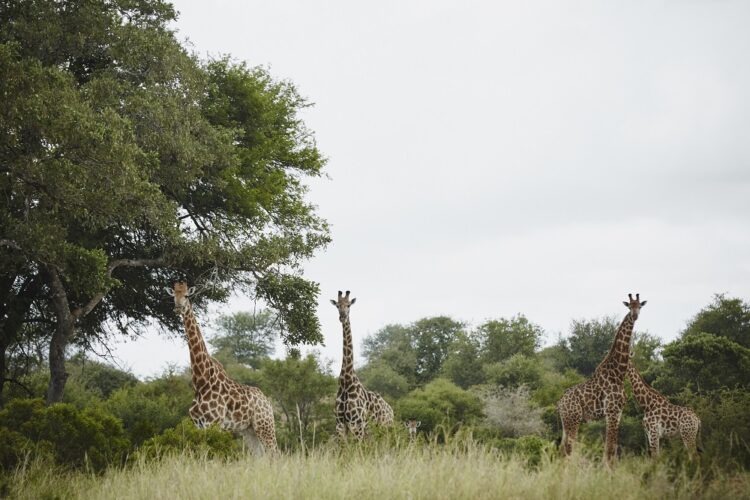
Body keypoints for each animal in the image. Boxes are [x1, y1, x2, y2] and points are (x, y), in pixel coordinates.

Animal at [167, 284, 280, 456]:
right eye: (174, 295)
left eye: (186, 295)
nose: (178, 308)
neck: (201, 382)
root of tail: (267, 401)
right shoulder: (199, 424)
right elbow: (203, 452)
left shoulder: (215, 423)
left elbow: (214, 453)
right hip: (249, 430)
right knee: (260, 456)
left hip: (264, 425)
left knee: (275, 453)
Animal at [332, 290, 396, 438]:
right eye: (337, 305)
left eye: (349, 305)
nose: (342, 317)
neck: (346, 382)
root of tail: (391, 411)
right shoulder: (340, 425)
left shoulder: (357, 424)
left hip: (385, 429)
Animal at [556, 292, 648, 460]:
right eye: (629, 306)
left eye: (640, 306)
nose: (635, 316)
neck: (618, 373)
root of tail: (560, 403)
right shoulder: (611, 411)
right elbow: (610, 447)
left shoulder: (618, 412)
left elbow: (612, 446)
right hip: (573, 419)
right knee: (569, 447)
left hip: (566, 421)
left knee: (562, 448)